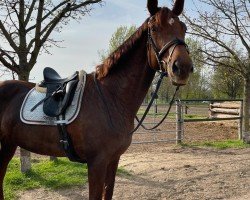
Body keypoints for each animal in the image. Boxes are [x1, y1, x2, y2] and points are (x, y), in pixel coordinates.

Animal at [0, 0, 191, 199]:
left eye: (183, 28)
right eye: (154, 28)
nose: (182, 68)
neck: (111, 97)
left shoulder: (113, 160)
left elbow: (109, 191)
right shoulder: (96, 163)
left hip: (8, 144)